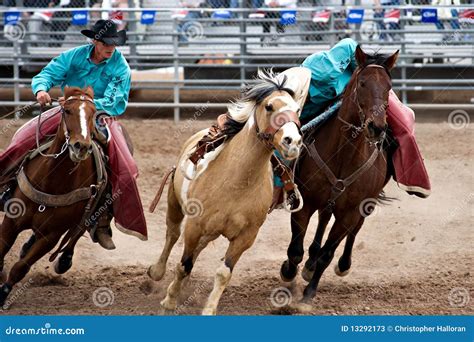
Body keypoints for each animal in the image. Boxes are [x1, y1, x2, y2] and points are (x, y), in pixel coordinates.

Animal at [0, 87, 107, 306]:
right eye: (66, 110)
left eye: (93, 113)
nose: (81, 146)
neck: (51, 182)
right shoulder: (11, 221)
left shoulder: (51, 236)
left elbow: (20, 268)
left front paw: (2, 295)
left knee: (76, 233)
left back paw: (64, 260)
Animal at [148, 70, 304, 316]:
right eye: (269, 106)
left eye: (297, 110)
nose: (293, 141)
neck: (237, 181)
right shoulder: (195, 225)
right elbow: (184, 265)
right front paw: (169, 301)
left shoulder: (246, 237)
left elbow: (223, 273)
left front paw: (209, 309)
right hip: (174, 203)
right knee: (172, 235)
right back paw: (157, 271)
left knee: (197, 248)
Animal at [280, 47, 402, 302]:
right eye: (363, 83)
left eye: (389, 87)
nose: (377, 127)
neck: (344, 154)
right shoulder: (304, 203)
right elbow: (295, 250)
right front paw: (288, 272)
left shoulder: (350, 212)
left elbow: (328, 253)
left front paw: (308, 296)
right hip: (327, 202)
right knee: (323, 220)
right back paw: (309, 262)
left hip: (366, 204)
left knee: (353, 231)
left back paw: (342, 264)